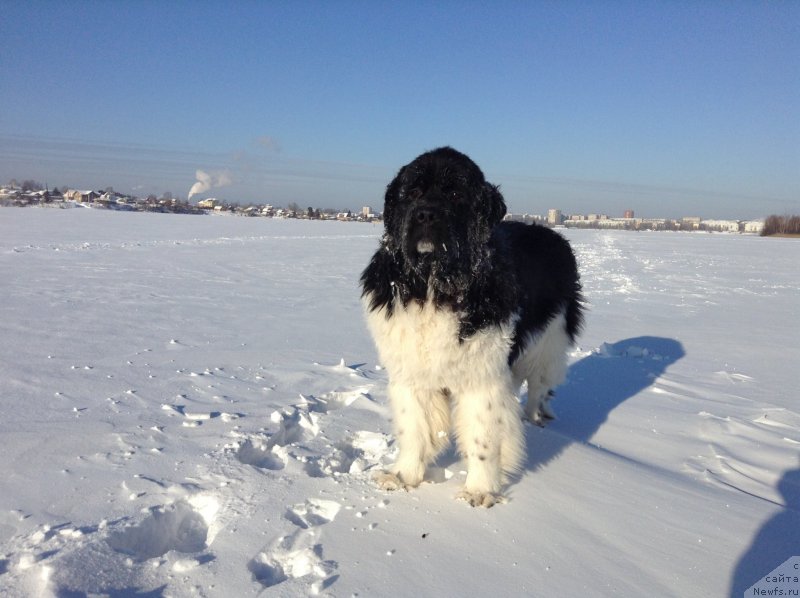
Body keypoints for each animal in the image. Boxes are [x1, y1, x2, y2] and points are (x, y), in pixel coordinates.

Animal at [360, 148, 580, 508]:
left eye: (455, 195)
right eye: (413, 192)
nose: (425, 215)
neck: (436, 284)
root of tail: (548, 231)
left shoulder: (483, 374)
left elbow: (483, 436)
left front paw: (480, 490)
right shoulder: (412, 368)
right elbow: (414, 428)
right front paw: (404, 476)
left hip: (550, 339)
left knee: (539, 384)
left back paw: (534, 416)